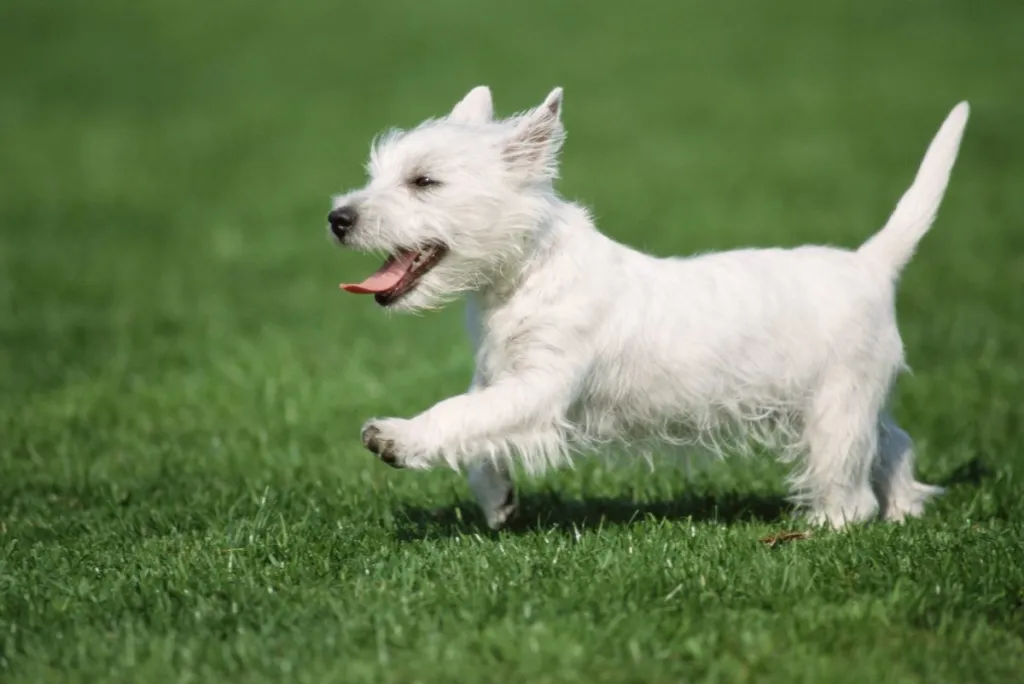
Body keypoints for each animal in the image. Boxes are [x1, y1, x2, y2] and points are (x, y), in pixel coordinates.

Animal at [327, 87, 966, 528]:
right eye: (378, 175)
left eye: (424, 181)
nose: (337, 218)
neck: (525, 274)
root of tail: (870, 264)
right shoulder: (499, 379)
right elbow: (477, 430)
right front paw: (499, 502)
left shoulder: (540, 387)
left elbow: (456, 413)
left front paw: (397, 438)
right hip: (854, 401)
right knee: (893, 443)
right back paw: (905, 508)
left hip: (835, 408)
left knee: (850, 488)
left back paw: (823, 528)